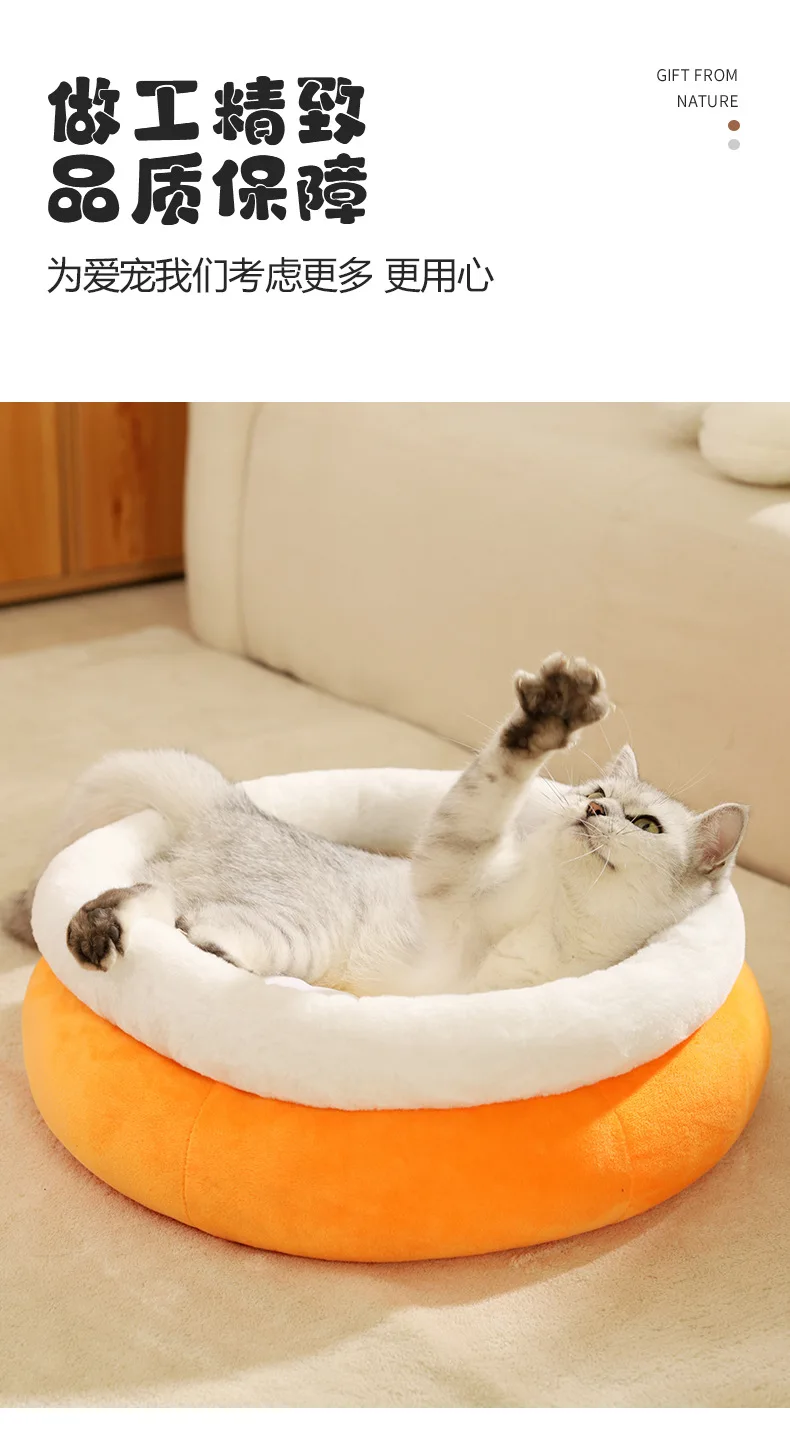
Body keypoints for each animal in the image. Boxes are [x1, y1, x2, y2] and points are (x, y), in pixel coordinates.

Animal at [7, 654, 748, 997]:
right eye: (595, 792)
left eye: (646, 822)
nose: (591, 810)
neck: (563, 920)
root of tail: (231, 802)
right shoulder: (447, 875)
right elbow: (495, 781)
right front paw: (548, 714)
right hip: (300, 930)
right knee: (167, 908)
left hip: (285, 935)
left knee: (169, 911)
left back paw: (124, 932)